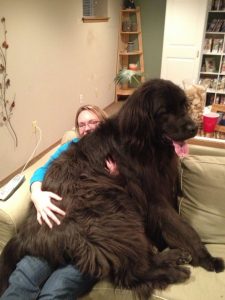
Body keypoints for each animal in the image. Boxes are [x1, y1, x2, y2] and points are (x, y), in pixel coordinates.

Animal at [0, 78, 225, 298]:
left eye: (183, 106)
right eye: (164, 111)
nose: (194, 128)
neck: (143, 143)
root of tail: (23, 235)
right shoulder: (153, 197)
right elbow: (183, 227)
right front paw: (207, 258)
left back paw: (174, 256)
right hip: (115, 213)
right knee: (134, 271)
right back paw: (174, 270)